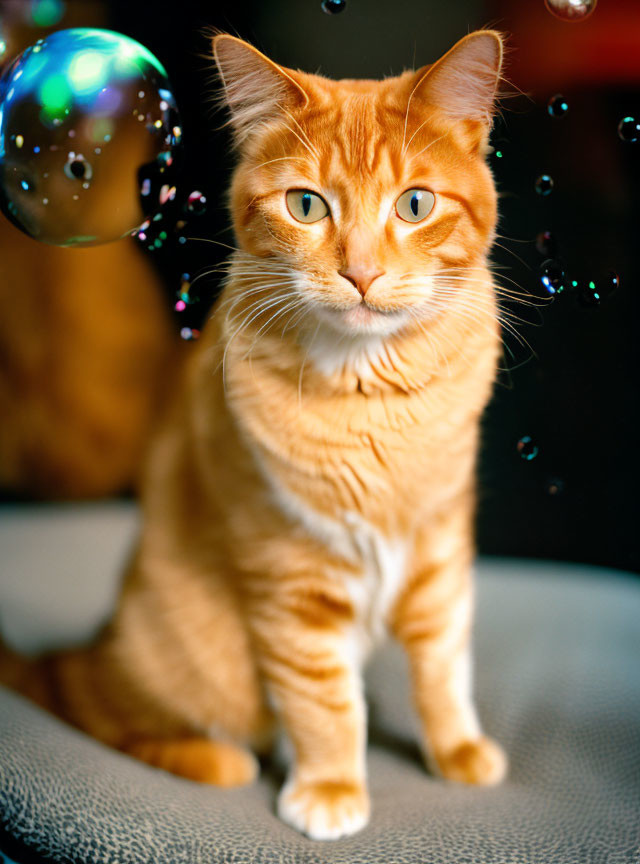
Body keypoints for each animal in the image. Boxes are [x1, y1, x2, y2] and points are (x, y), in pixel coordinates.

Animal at [1, 32, 510, 836]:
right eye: (306, 205)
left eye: (415, 205)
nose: (361, 273)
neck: (371, 404)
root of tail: (101, 639)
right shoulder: (289, 570)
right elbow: (322, 698)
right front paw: (331, 787)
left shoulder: (440, 540)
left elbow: (442, 660)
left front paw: (456, 747)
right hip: (191, 665)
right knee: (105, 713)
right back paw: (216, 758)